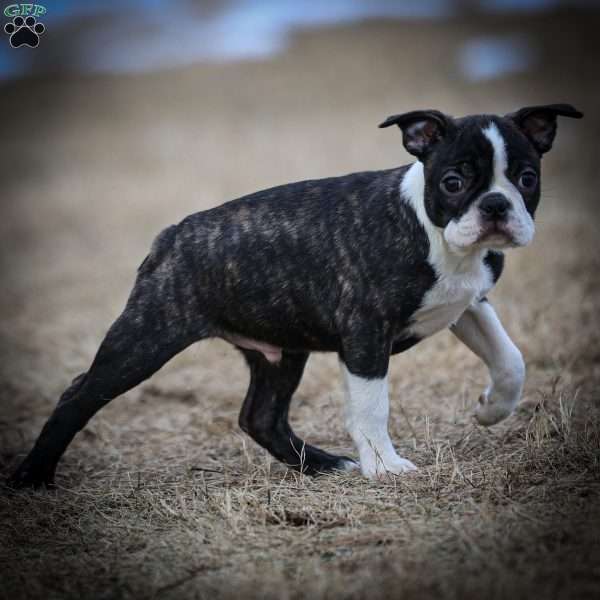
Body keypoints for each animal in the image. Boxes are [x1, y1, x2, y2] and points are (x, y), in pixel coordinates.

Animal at [8, 104, 580, 488]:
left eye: (528, 178)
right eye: (455, 182)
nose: (496, 205)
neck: (434, 231)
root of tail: (172, 235)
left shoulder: (469, 304)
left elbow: (511, 358)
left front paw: (491, 410)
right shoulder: (365, 333)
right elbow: (372, 406)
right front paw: (385, 466)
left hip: (282, 351)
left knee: (261, 417)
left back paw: (325, 464)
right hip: (148, 336)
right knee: (79, 394)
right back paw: (33, 476)